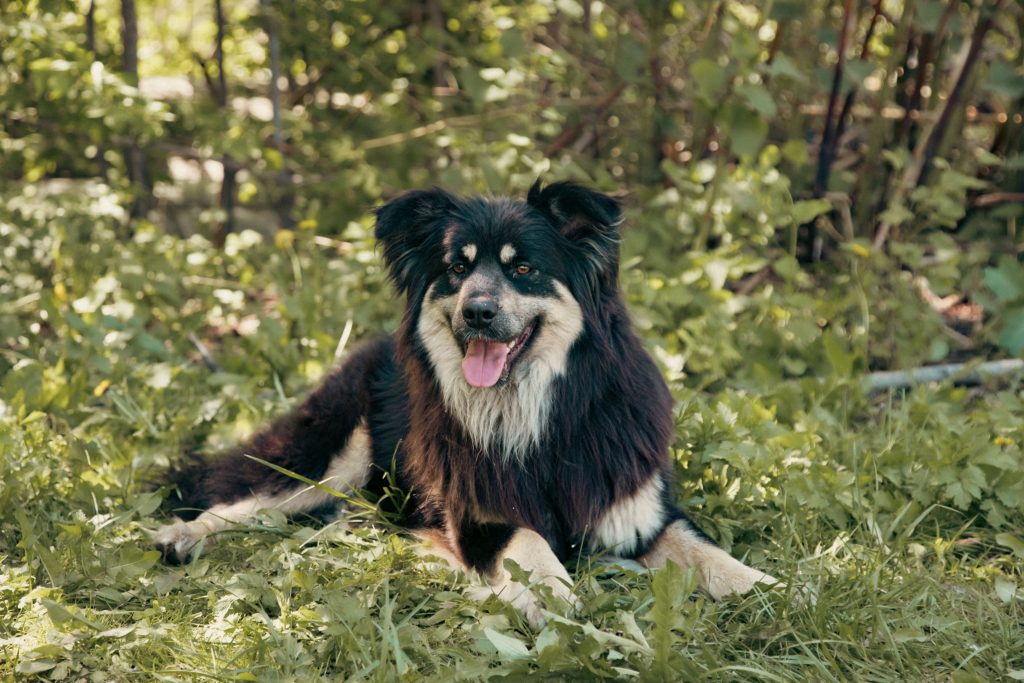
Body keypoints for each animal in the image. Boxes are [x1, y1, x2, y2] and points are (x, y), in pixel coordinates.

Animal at [149, 180, 774, 626]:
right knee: (248, 496)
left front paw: (768, 589)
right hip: (331, 454)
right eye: (457, 267)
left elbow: (705, 551)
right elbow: (529, 542)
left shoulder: (638, 509)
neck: (538, 415)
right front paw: (557, 599)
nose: (477, 312)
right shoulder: (482, 517)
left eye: (523, 267)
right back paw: (183, 536)